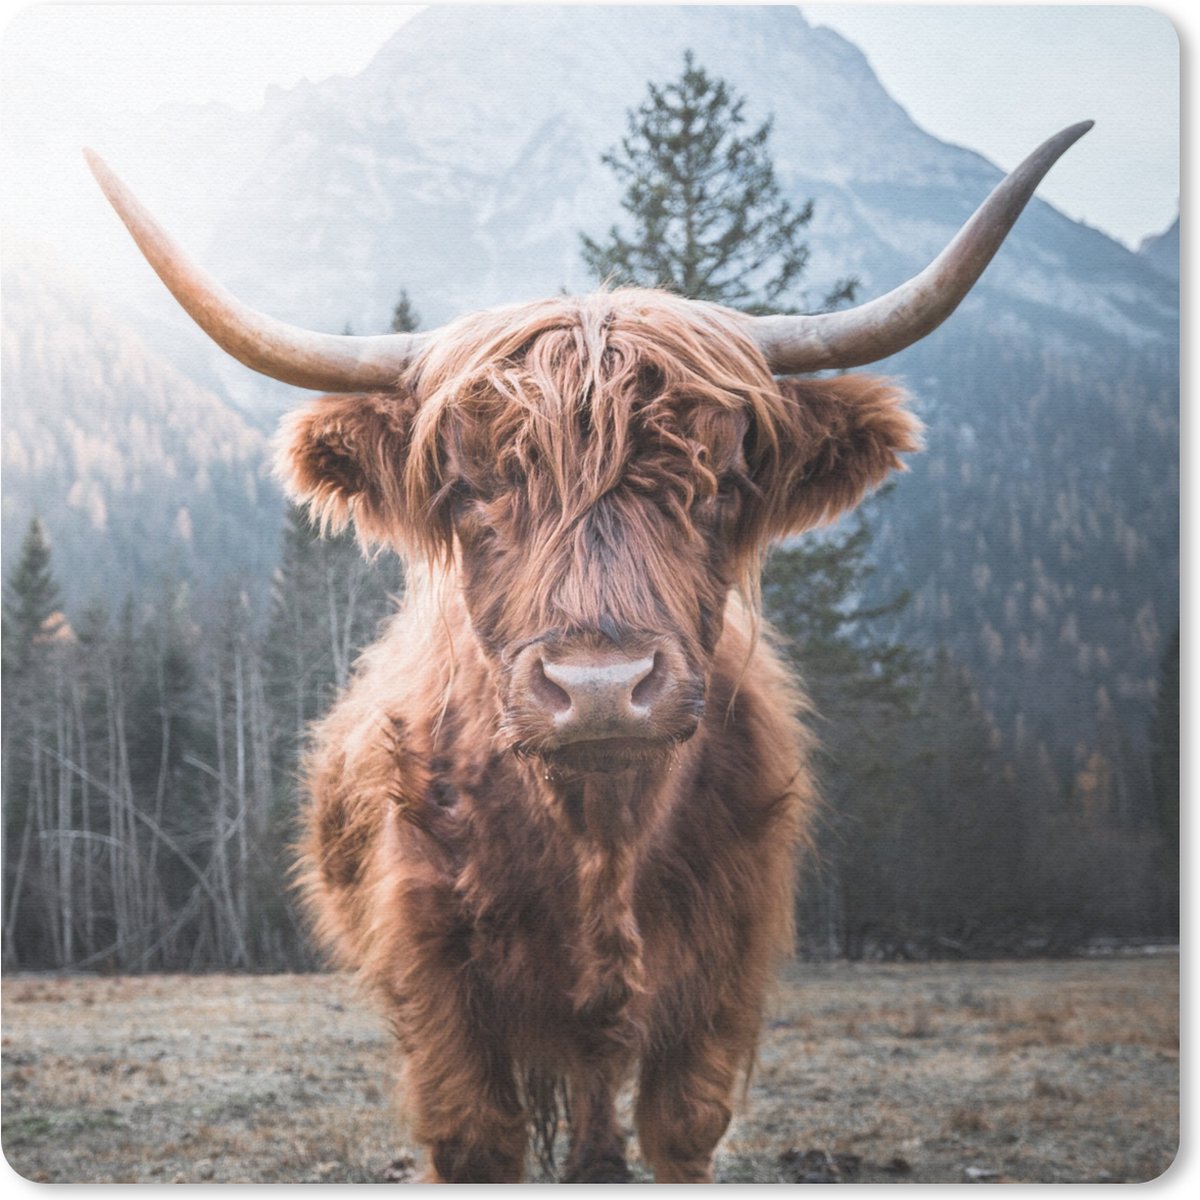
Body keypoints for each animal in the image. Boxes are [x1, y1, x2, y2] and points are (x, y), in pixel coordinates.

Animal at [87, 121, 1090, 1183]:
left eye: (719, 480)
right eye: (470, 486)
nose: (601, 688)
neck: (600, 839)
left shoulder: (721, 978)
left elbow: (680, 1130)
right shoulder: (437, 988)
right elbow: (477, 1141)